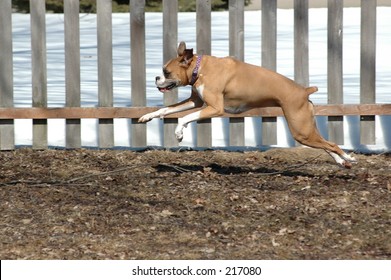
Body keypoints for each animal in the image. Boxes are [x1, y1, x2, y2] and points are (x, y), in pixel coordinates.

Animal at [139, 41, 358, 168]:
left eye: (166, 72)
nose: (156, 78)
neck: (199, 69)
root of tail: (304, 91)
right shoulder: (196, 101)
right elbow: (167, 110)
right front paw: (147, 116)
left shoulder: (214, 109)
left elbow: (185, 117)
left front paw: (179, 133)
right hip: (306, 128)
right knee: (327, 144)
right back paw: (340, 161)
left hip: (300, 130)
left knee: (332, 144)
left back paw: (348, 158)